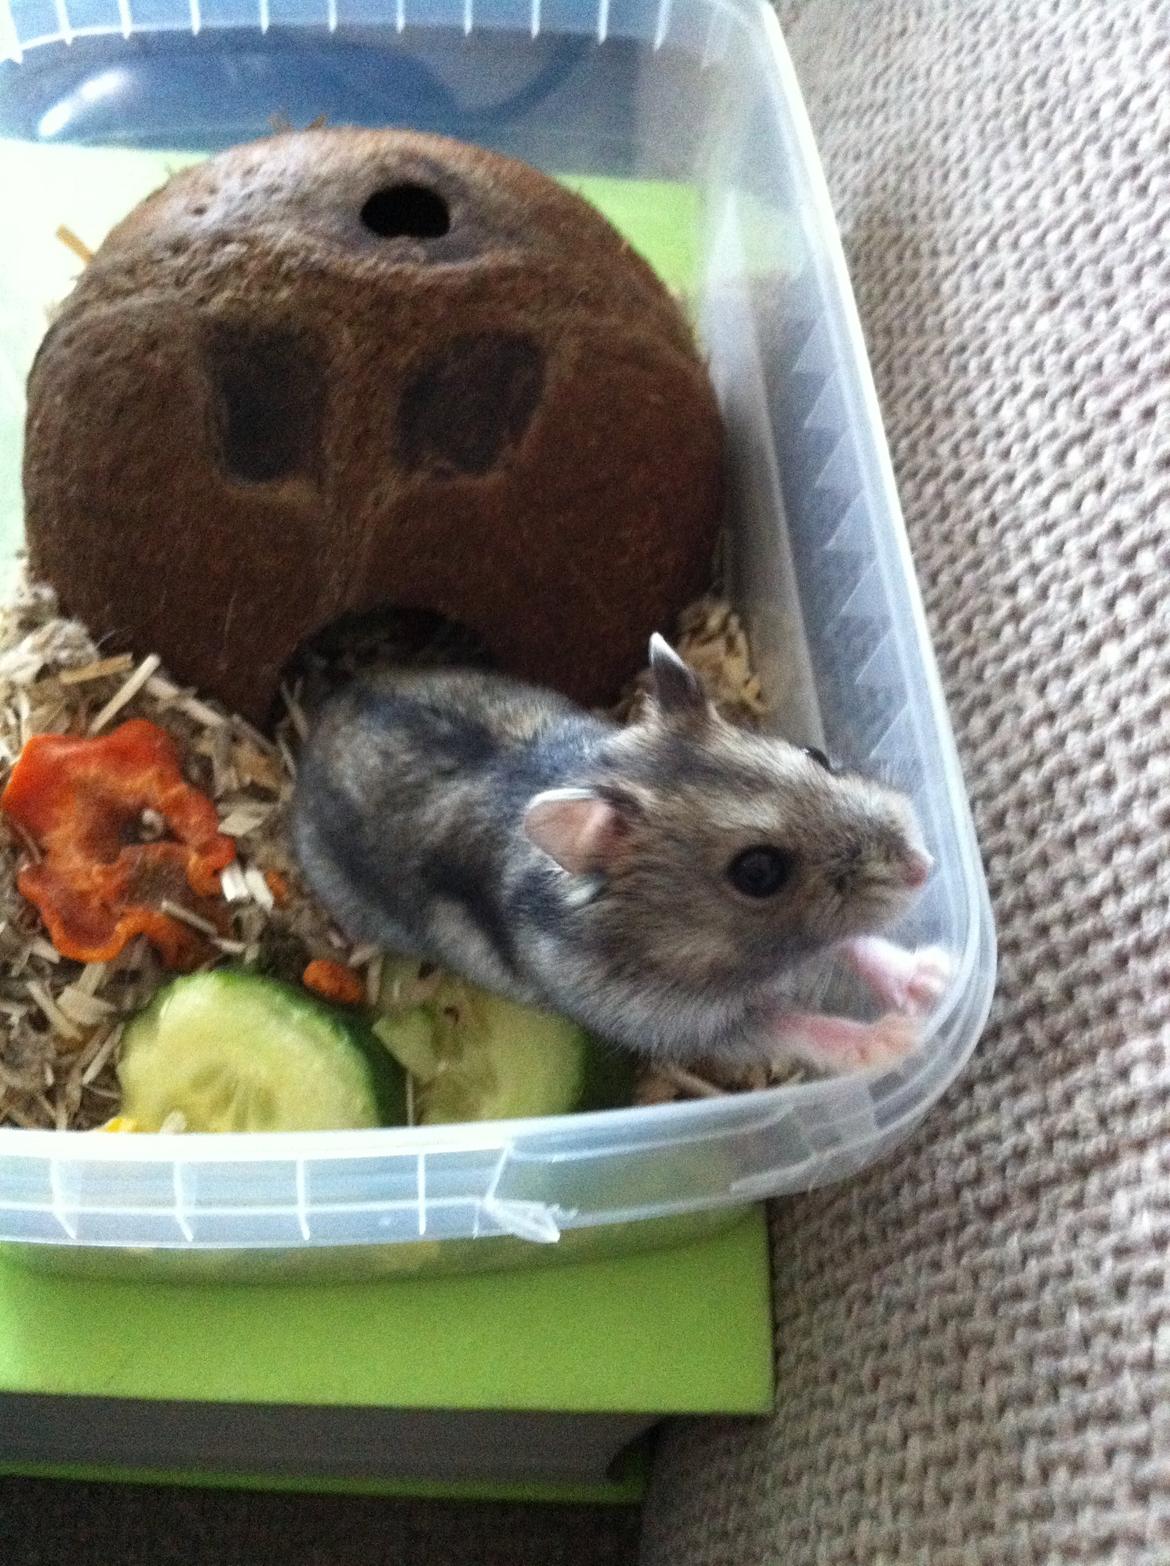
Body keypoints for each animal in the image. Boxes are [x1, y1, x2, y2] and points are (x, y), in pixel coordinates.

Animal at [291, 635, 944, 1073]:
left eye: (817, 754)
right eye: (758, 872)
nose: (925, 868)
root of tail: (323, 718)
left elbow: (852, 940)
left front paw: (936, 981)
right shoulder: (686, 1029)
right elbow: (794, 1023)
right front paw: (899, 1041)